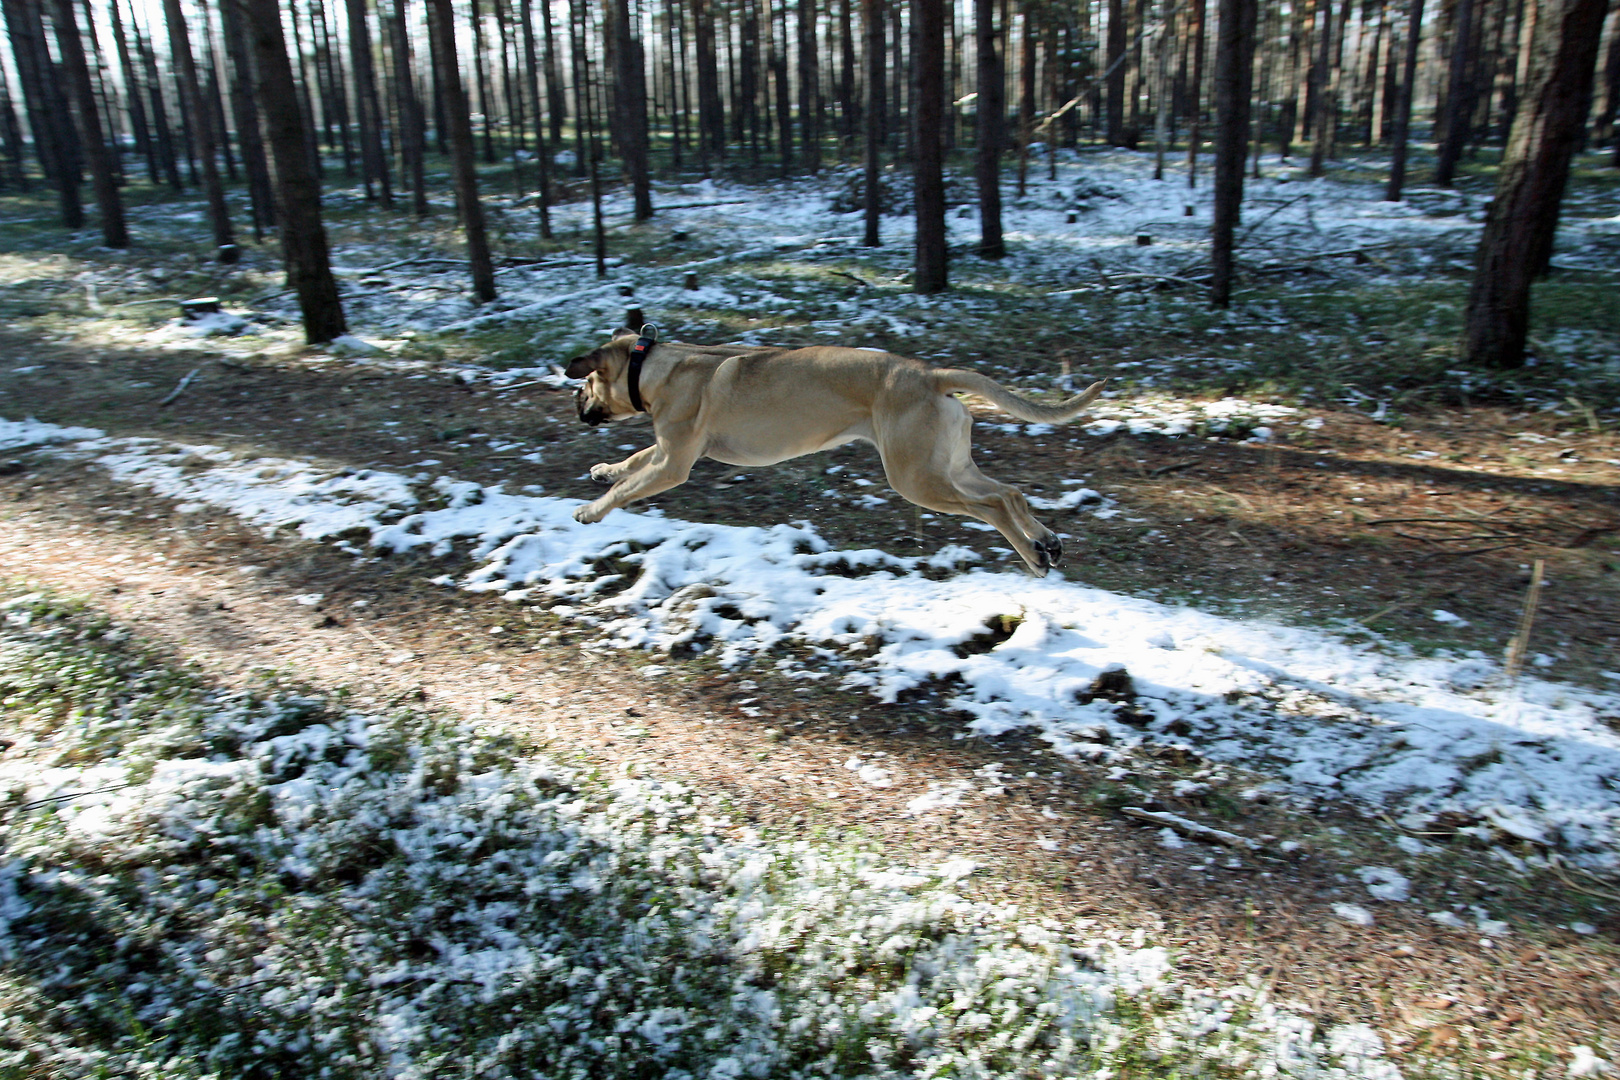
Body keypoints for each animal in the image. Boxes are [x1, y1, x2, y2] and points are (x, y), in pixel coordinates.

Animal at [563, 330, 1108, 579]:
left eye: (586, 380)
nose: (574, 399)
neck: (653, 367)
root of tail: (929, 374)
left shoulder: (673, 462)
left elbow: (629, 484)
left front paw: (592, 509)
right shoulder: (667, 452)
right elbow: (632, 462)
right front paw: (604, 468)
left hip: (916, 477)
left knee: (991, 505)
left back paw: (1034, 556)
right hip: (947, 464)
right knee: (1010, 493)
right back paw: (1046, 542)